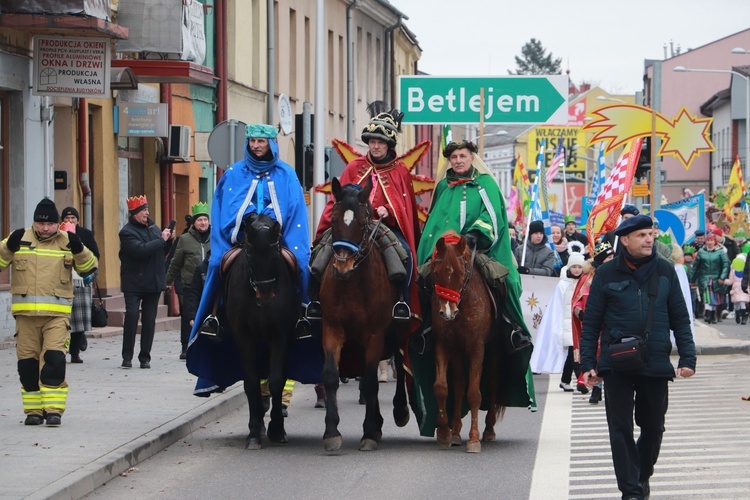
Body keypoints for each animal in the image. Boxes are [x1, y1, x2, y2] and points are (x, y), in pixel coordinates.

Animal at [318, 177, 412, 454]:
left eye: (361, 222)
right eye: (333, 220)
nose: (342, 266)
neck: (352, 284)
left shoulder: (374, 335)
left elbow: (370, 381)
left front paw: (369, 432)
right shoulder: (332, 330)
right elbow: (331, 377)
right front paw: (331, 433)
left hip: (395, 332)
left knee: (398, 364)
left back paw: (399, 411)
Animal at [428, 230, 506, 454]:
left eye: (461, 274)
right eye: (436, 273)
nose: (447, 313)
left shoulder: (476, 347)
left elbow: (474, 393)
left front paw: (473, 439)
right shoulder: (444, 344)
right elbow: (442, 387)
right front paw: (444, 433)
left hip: (494, 349)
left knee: (493, 381)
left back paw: (488, 430)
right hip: (457, 352)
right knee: (459, 383)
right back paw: (455, 431)